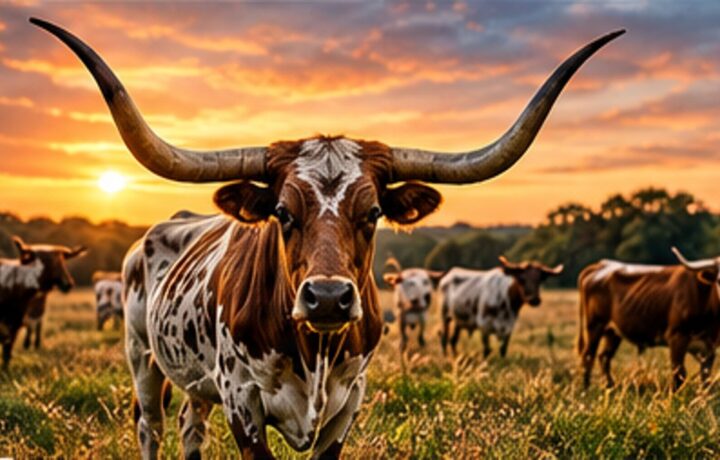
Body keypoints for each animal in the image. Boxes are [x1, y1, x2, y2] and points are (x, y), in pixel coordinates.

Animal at [31, 17, 622, 459]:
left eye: (374, 212)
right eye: (283, 213)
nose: (330, 298)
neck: (311, 350)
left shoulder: (346, 407)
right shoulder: (242, 403)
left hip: (195, 381)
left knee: (188, 424)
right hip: (141, 357)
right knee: (149, 426)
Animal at [578, 248, 720, 391]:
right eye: (718, 280)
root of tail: (601, 264)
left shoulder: (710, 348)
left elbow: (706, 379)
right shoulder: (677, 337)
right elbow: (679, 374)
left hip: (613, 332)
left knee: (604, 357)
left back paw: (610, 386)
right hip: (595, 325)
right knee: (588, 356)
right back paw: (586, 389)